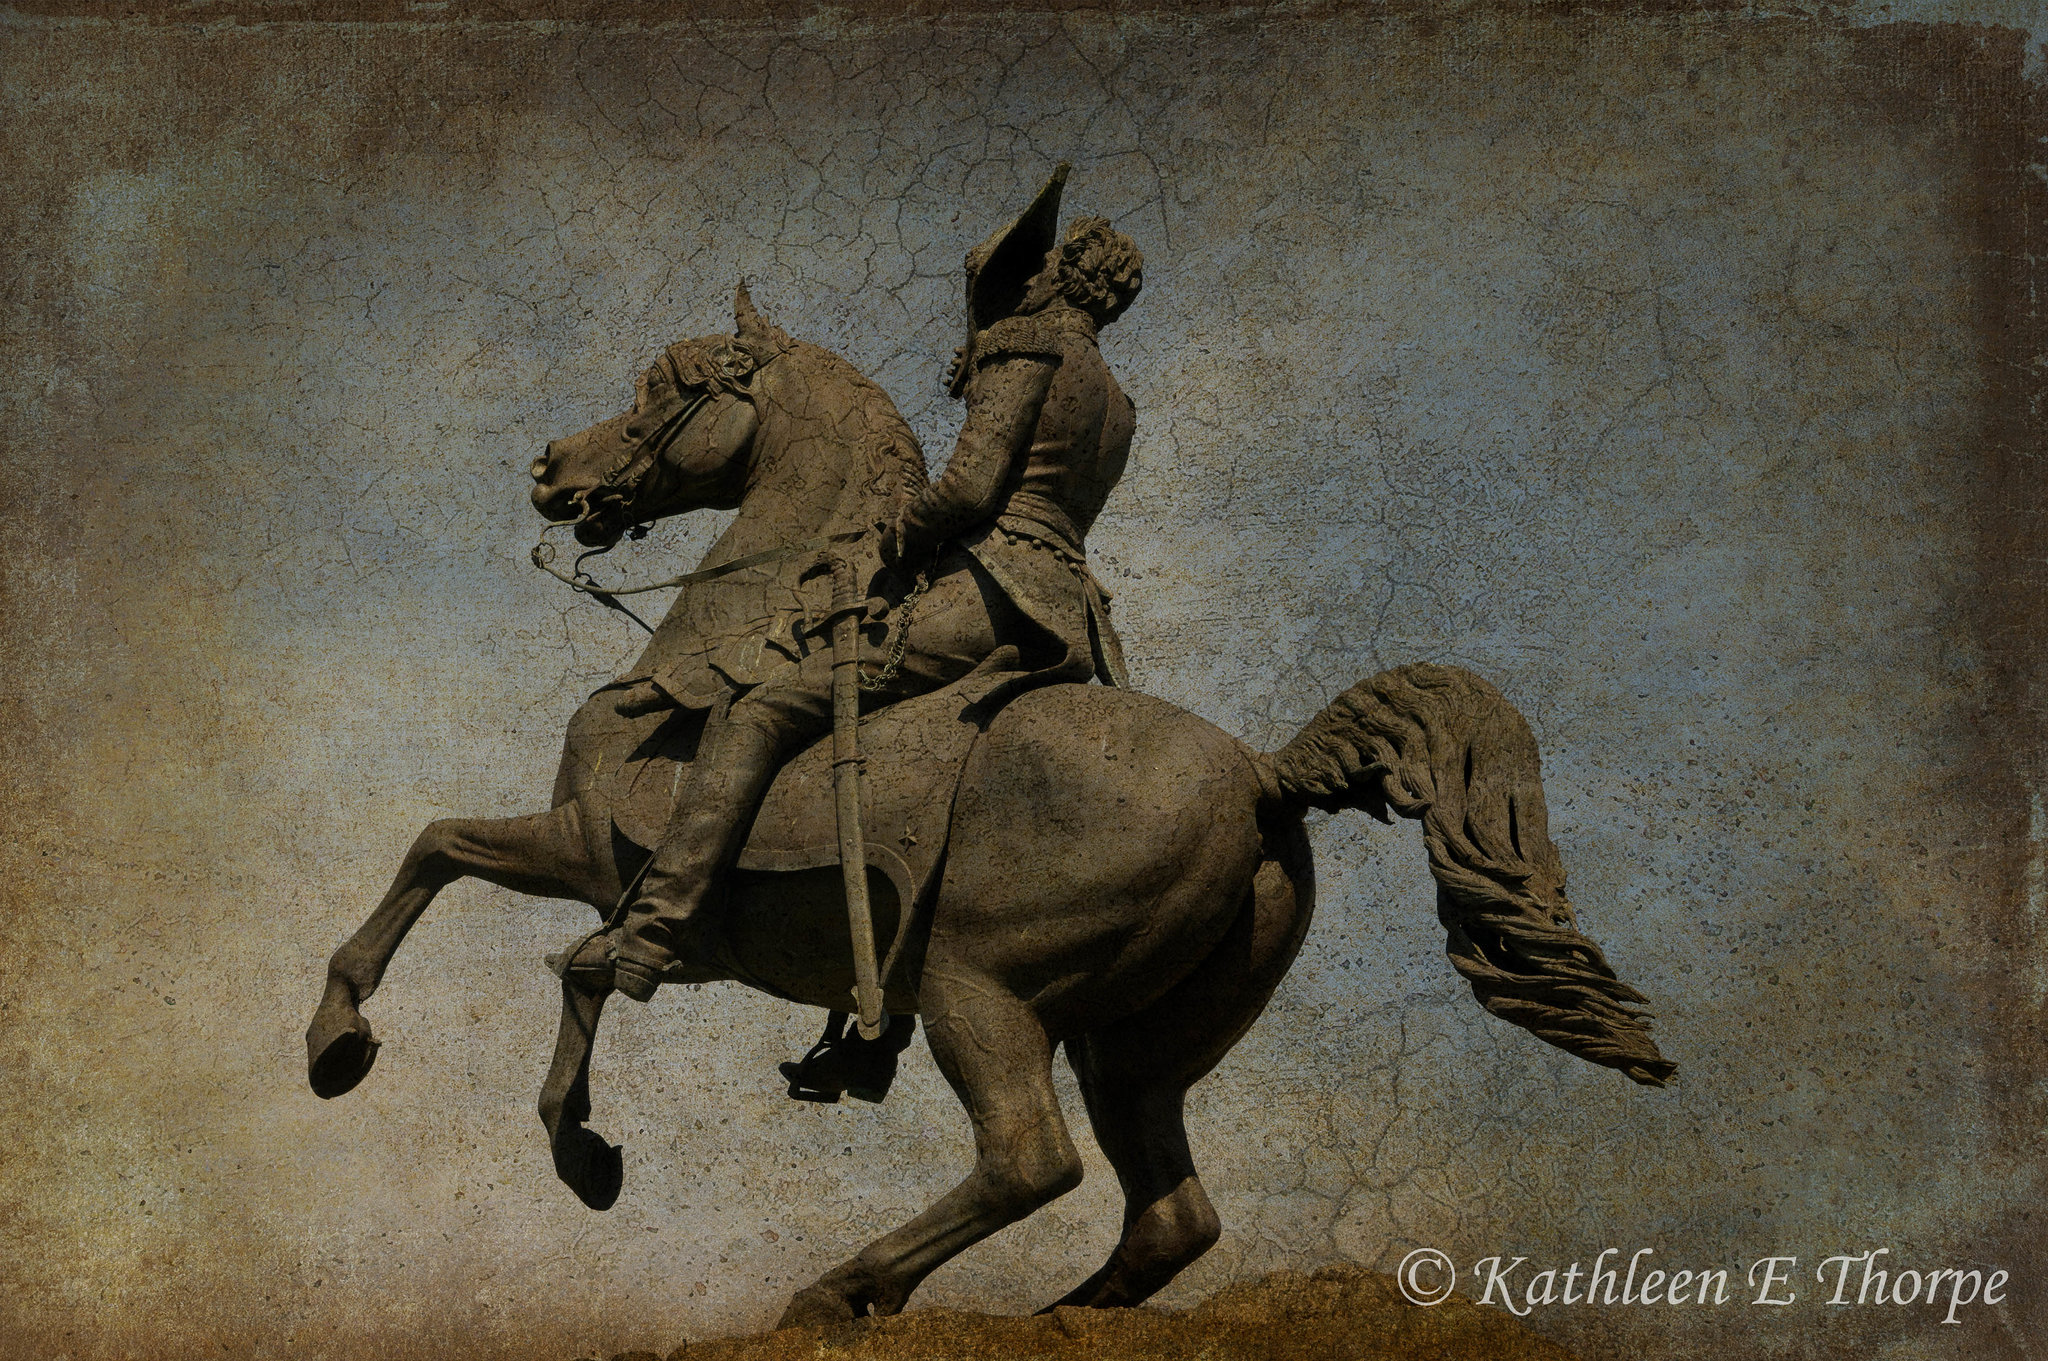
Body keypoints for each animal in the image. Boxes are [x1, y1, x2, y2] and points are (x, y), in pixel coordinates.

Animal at [307, 284, 1679, 1326]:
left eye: (663, 389)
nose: (552, 471)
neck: (725, 635)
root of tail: (1259, 778)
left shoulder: (606, 855)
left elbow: (477, 880)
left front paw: (374, 1057)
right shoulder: (641, 891)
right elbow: (491, 900)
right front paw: (452, 1084)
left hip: (983, 991)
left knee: (1031, 1159)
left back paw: (839, 1288)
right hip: (1131, 1041)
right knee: (1171, 1212)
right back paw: (1049, 1311)